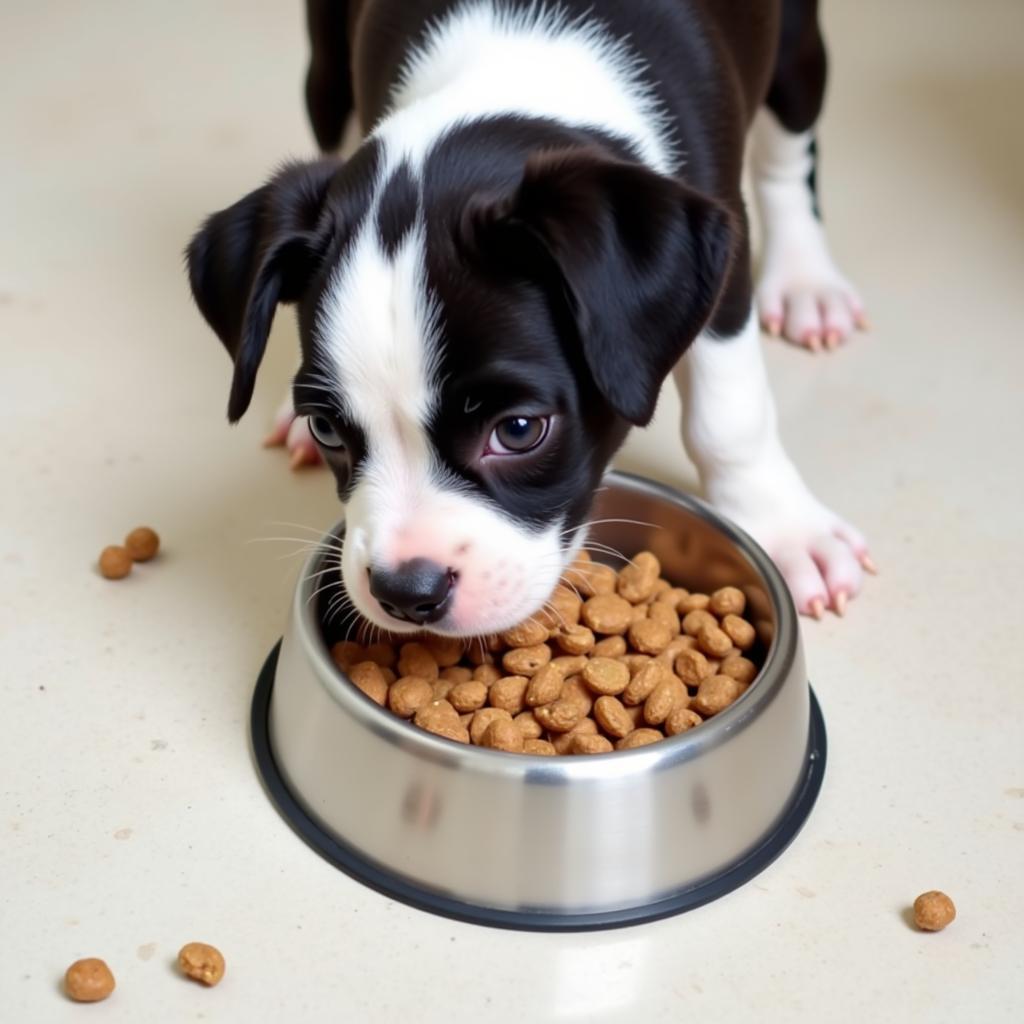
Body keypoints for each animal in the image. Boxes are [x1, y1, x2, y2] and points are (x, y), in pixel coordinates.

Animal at [186, 0, 872, 634]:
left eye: (519, 430)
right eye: (329, 428)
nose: (408, 591)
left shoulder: (723, 265)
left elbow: (729, 414)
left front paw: (784, 527)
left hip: (794, 56)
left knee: (788, 159)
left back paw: (806, 279)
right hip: (326, 67)